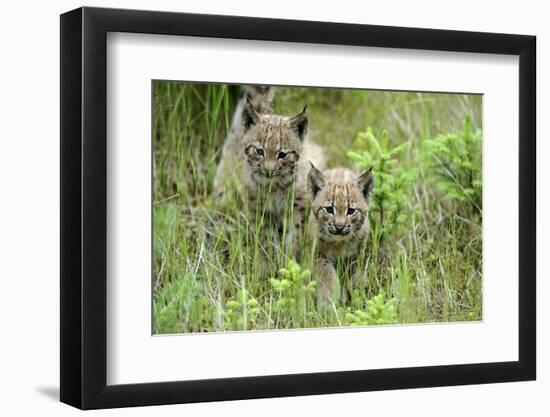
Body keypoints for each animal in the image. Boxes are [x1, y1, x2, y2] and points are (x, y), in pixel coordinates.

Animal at [308, 164, 378, 304]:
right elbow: (326, 274)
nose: (339, 227)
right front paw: (328, 299)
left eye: (351, 211)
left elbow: (349, 276)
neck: (338, 242)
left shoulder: (355, 256)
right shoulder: (318, 254)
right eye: (329, 209)